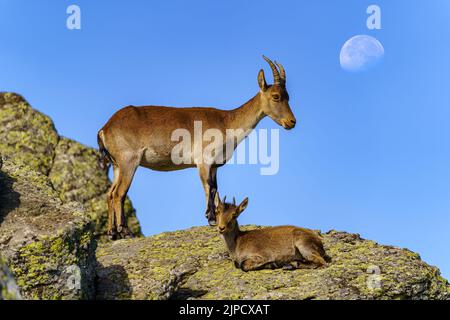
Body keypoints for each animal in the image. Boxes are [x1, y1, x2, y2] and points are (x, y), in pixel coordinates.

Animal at [97, 56, 296, 239]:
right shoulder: (203, 161)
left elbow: (215, 188)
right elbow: (209, 187)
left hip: (116, 165)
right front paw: (210, 218)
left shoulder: (215, 165)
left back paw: (112, 232)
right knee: (119, 193)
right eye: (276, 96)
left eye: (288, 96)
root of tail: (105, 128)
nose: (292, 122)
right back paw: (125, 231)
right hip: (128, 161)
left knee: (110, 193)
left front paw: (213, 216)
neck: (227, 122)